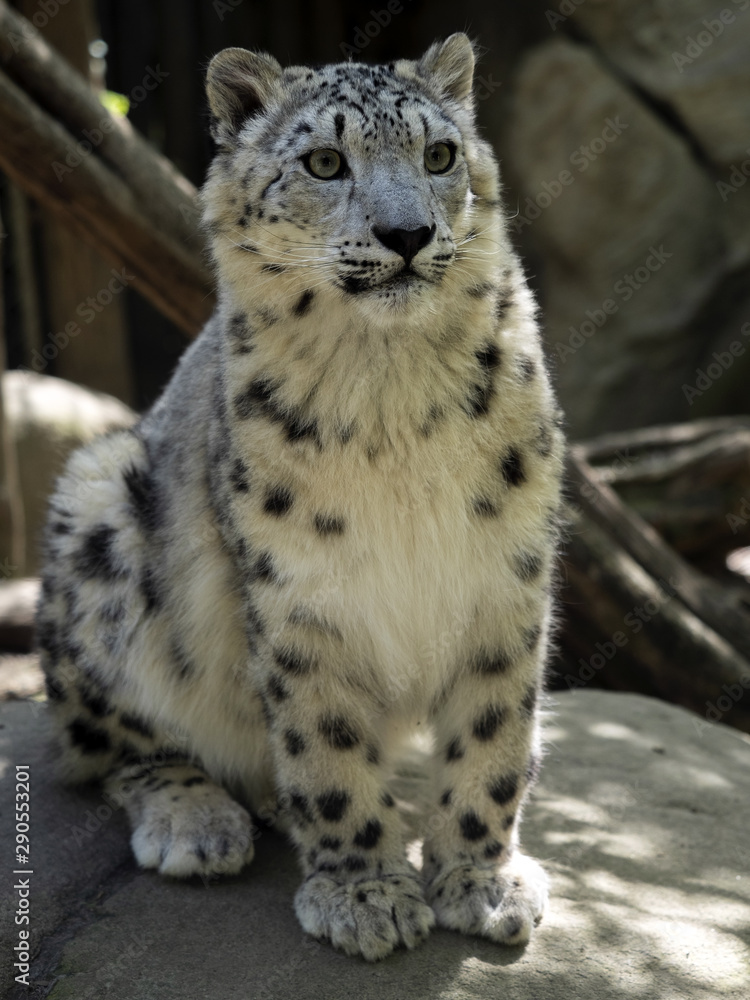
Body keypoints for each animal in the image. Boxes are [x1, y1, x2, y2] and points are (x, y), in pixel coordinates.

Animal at [36, 34, 565, 961]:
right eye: (325, 161)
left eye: (439, 155)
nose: (407, 233)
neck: (392, 391)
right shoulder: (301, 592)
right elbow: (325, 741)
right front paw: (364, 892)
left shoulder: (510, 570)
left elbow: (496, 731)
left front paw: (483, 879)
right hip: (99, 505)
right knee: (103, 743)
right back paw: (198, 821)